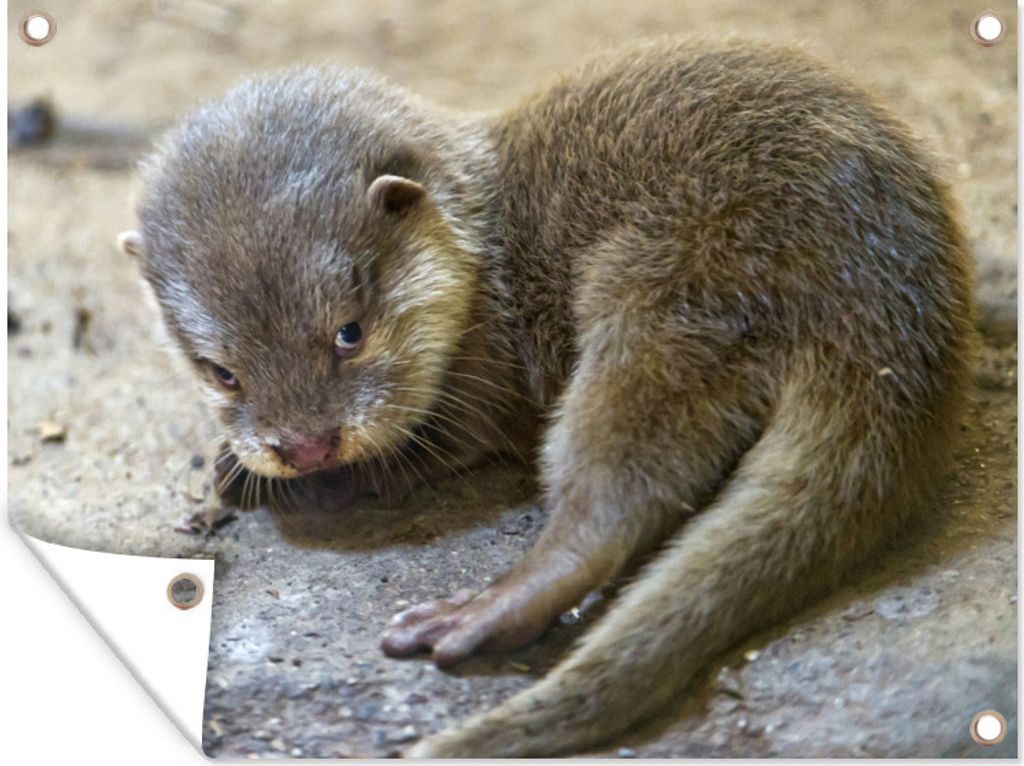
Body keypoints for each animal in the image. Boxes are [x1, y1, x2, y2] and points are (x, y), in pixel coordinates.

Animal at [120, 39, 973, 757]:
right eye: (221, 371)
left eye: (349, 332)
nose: (305, 445)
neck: (485, 249)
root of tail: (891, 300)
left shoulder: (478, 375)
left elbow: (416, 453)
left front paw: (266, 481)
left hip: (675, 286)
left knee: (614, 496)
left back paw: (486, 611)